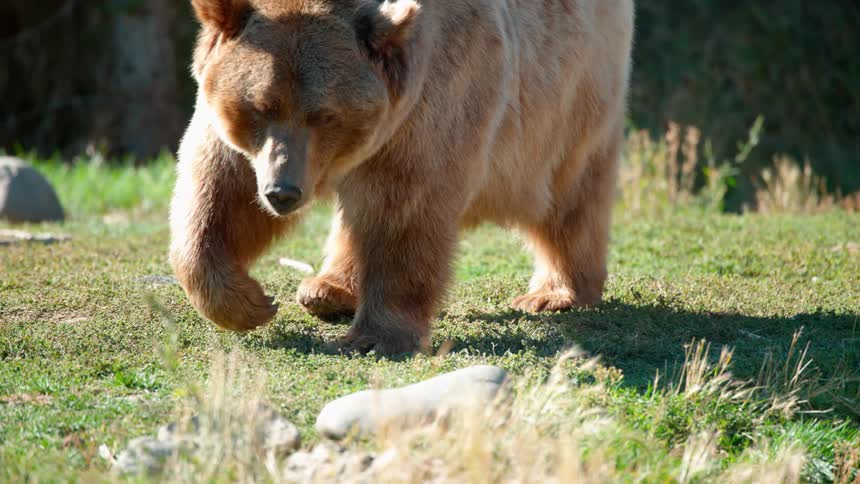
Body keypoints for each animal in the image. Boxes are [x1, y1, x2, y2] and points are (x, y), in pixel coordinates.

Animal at [169, 0, 635, 354]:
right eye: (261, 106)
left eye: (324, 115)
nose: (282, 192)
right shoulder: (240, 136)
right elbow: (218, 189)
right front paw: (250, 300)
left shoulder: (431, 93)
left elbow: (405, 209)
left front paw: (374, 337)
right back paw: (328, 291)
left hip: (569, 91)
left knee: (569, 192)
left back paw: (554, 292)